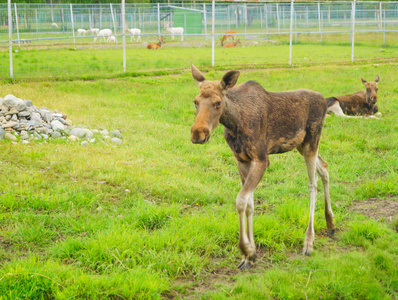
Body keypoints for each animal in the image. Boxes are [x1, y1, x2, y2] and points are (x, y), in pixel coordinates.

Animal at [190, 63, 336, 270]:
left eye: (218, 102)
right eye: (195, 102)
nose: (198, 133)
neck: (234, 123)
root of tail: (325, 100)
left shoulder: (261, 159)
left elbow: (241, 200)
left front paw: (246, 250)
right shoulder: (241, 160)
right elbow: (250, 203)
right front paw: (249, 256)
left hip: (311, 142)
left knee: (312, 184)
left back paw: (309, 241)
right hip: (301, 145)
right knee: (324, 166)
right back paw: (330, 223)